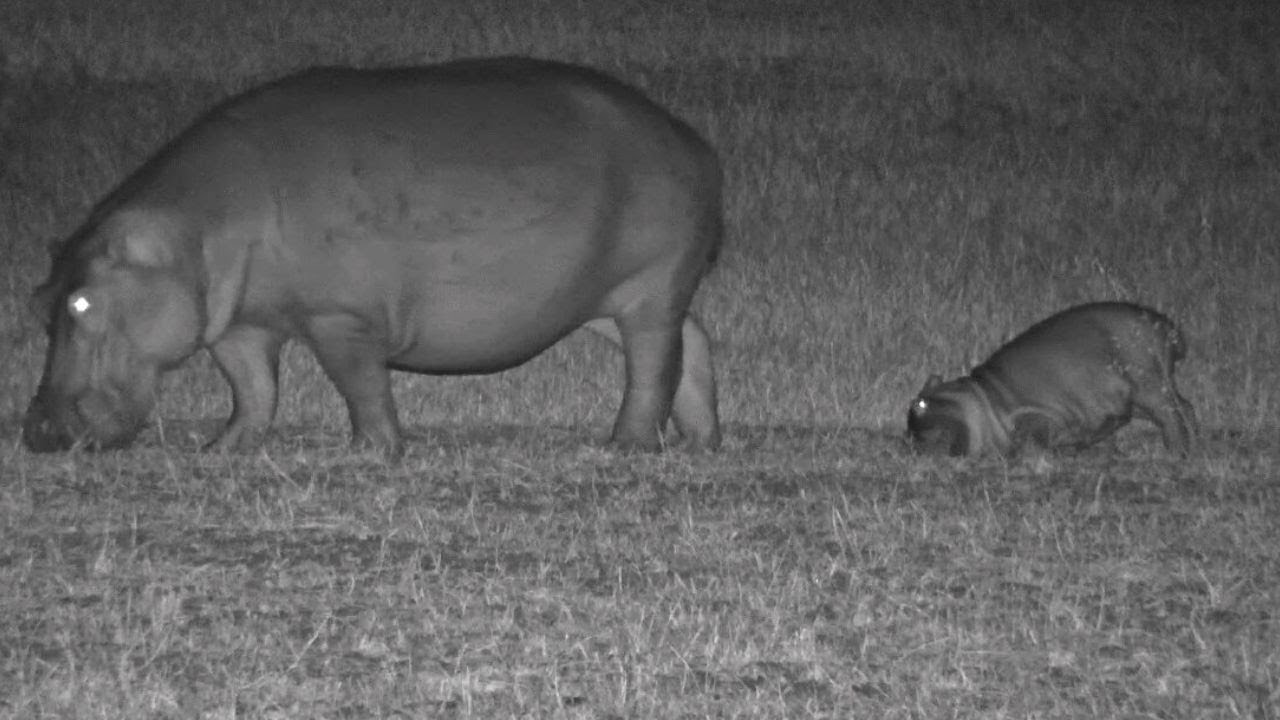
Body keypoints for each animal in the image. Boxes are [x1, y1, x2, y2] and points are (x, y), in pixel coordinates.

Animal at [23, 57, 723, 456]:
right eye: (38, 301)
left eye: (81, 301)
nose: (35, 432)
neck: (192, 227)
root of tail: (689, 137)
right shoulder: (237, 323)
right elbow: (253, 390)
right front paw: (223, 448)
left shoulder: (339, 319)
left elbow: (359, 385)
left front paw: (368, 453)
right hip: (602, 299)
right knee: (694, 341)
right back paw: (702, 441)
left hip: (649, 289)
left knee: (653, 362)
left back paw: (625, 447)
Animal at [907, 302, 1196, 457]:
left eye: (919, 404)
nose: (909, 437)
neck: (983, 393)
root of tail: (1166, 325)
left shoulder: (1034, 411)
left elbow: (1036, 436)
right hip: (1146, 391)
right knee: (1186, 406)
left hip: (1145, 380)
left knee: (1171, 413)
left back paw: (1176, 451)